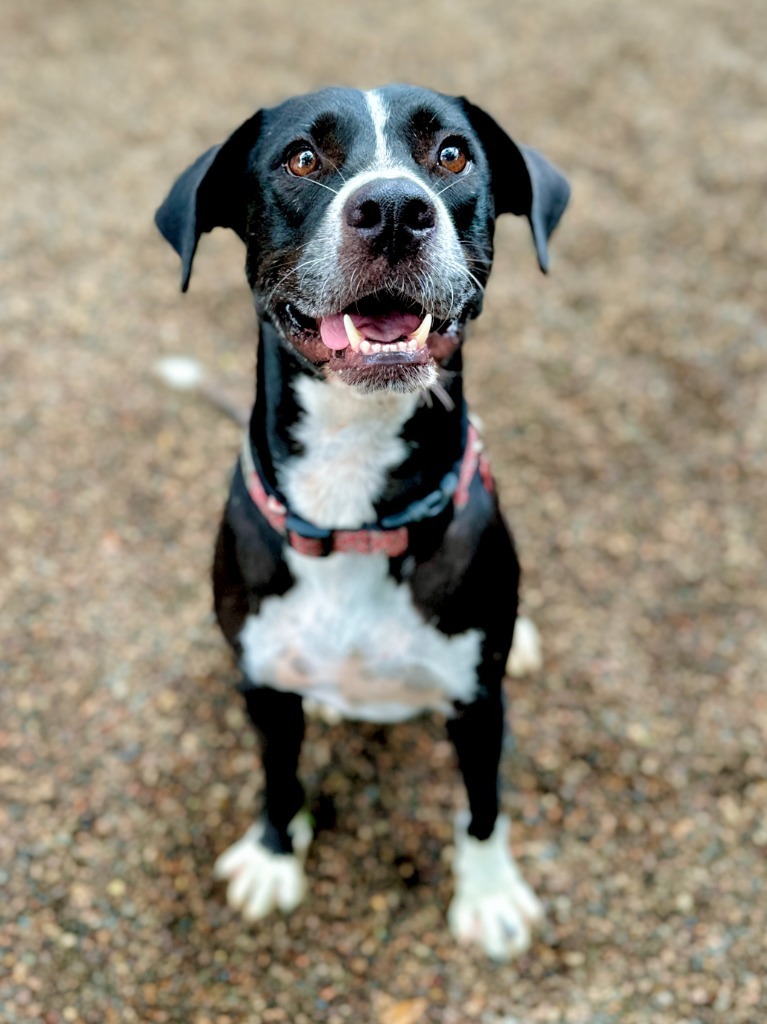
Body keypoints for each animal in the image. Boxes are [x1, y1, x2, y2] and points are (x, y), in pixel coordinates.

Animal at [153, 83, 569, 954]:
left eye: (452, 155)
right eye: (302, 159)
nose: (393, 212)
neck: (352, 495)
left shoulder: (476, 706)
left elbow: (483, 805)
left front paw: (488, 895)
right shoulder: (262, 688)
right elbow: (278, 778)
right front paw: (274, 855)